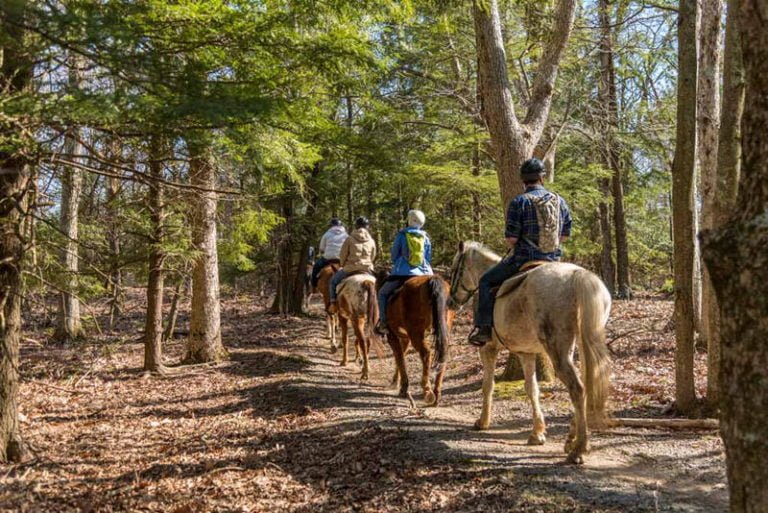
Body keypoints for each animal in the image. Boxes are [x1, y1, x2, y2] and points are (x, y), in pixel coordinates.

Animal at [382, 275, 454, 406]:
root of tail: (432, 280)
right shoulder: (405, 337)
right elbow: (401, 355)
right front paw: (397, 382)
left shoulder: (392, 336)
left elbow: (399, 356)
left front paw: (402, 386)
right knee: (443, 353)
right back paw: (437, 393)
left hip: (415, 333)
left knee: (426, 353)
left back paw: (427, 391)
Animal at [449, 241, 611, 464]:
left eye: (454, 269)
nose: (451, 301)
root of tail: (577, 275)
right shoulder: (526, 353)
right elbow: (532, 388)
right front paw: (537, 433)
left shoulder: (487, 349)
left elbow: (488, 386)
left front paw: (482, 422)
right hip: (584, 342)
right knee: (586, 383)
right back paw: (571, 439)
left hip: (559, 350)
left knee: (577, 388)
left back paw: (578, 449)